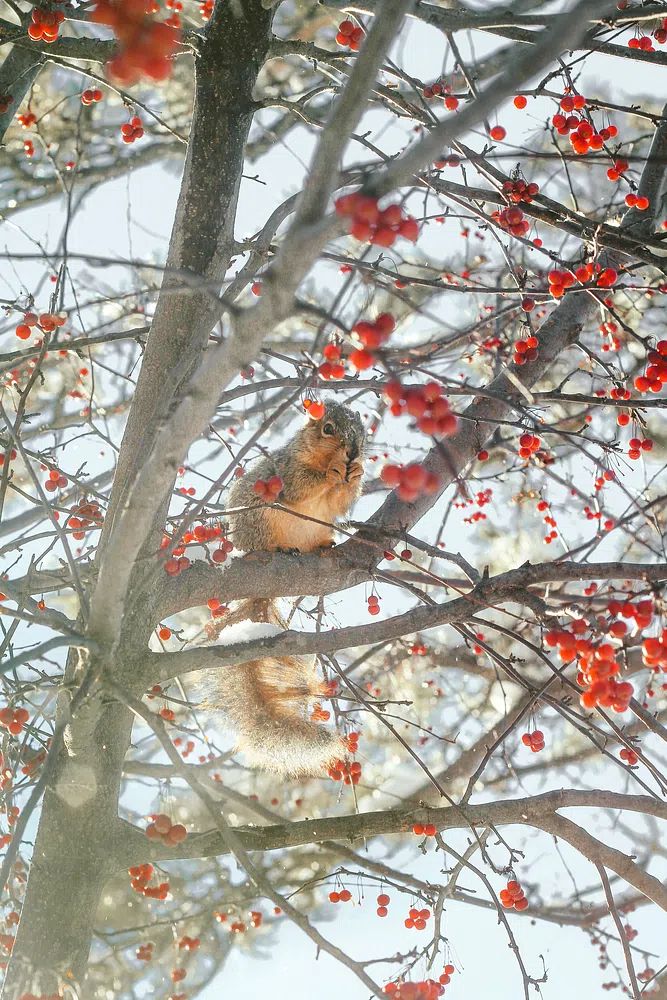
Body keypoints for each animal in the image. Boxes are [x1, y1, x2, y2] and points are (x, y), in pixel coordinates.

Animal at [196, 400, 365, 777]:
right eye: (327, 428)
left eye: (363, 432)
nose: (353, 451)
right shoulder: (285, 471)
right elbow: (301, 485)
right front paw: (333, 470)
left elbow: (341, 502)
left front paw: (358, 472)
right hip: (259, 518)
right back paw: (279, 549)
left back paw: (323, 545)